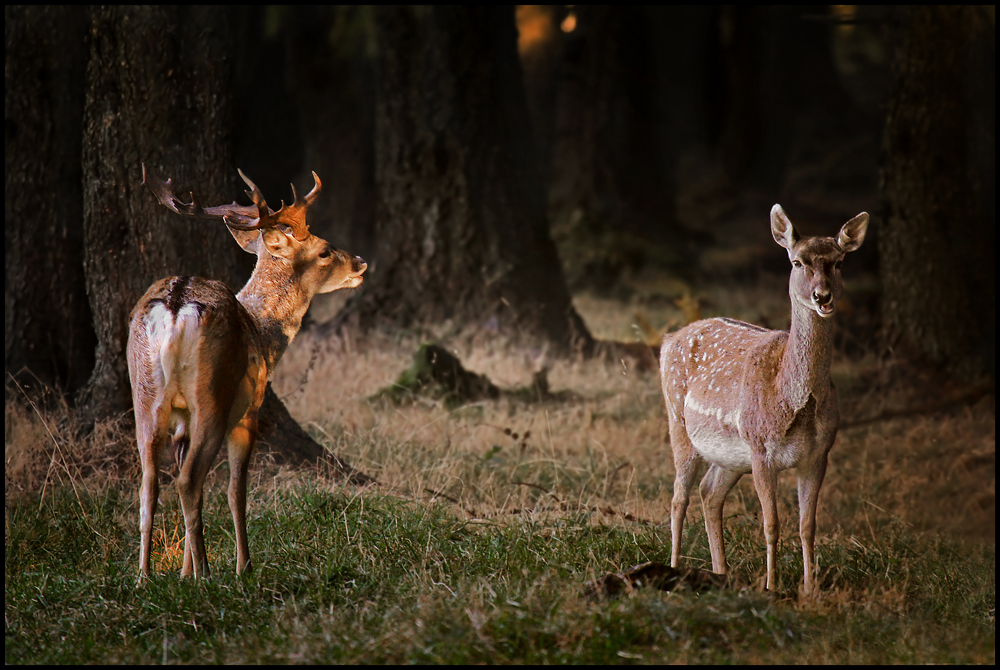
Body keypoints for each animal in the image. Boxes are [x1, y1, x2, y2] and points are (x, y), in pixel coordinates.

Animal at [129, 165, 368, 580]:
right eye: (324, 250)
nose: (359, 262)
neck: (262, 328)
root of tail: (176, 306)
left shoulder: (182, 420)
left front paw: (183, 572)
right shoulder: (249, 410)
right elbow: (236, 491)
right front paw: (242, 567)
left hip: (144, 390)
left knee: (150, 483)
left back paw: (145, 577)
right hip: (212, 395)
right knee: (189, 480)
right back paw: (209, 575)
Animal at [660, 205, 864, 592]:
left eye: (840, 262)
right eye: (797, 262)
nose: (822, 296)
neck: (791, 400)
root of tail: (667, 340)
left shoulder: (819, 454)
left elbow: (807, 526)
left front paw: (810, 589)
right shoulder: (760, 447)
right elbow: (771, 525)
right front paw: (771, 587)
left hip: (730, 458)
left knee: (710, 493)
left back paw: (721, 572)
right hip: (678, 422)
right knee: (678, 497)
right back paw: (674, 569)